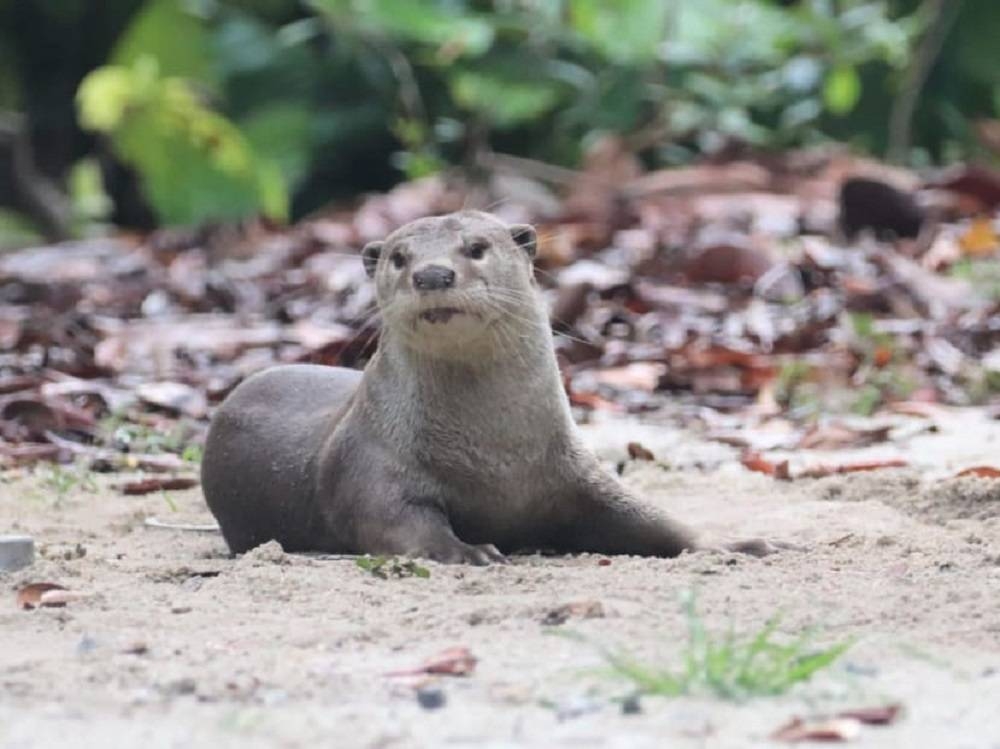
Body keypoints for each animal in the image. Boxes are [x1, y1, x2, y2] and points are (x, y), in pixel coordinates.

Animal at [202, 211, 776, 563]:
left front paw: (738, 545)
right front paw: (467, 550)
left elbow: (654, 522)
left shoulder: (577, 473)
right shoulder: (371, 464)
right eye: (399, 257)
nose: (433, 274)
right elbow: (396, 520)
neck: (495, 456)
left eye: (476, 247)